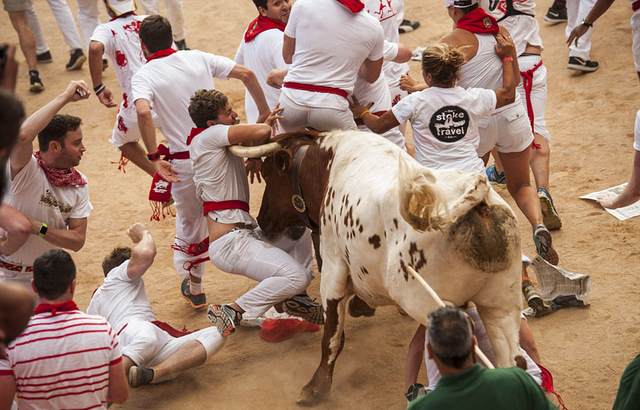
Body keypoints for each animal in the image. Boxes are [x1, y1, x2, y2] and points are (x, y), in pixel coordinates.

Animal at [232, 130, 524, 406]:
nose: (262, 220)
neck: (326, 166)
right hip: (501, 307)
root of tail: (477, 196)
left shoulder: (333, 270)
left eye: (268, 175)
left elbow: (332, 336)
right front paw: (361, 305)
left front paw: (316, 388)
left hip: (428, 305)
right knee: (514, 359)